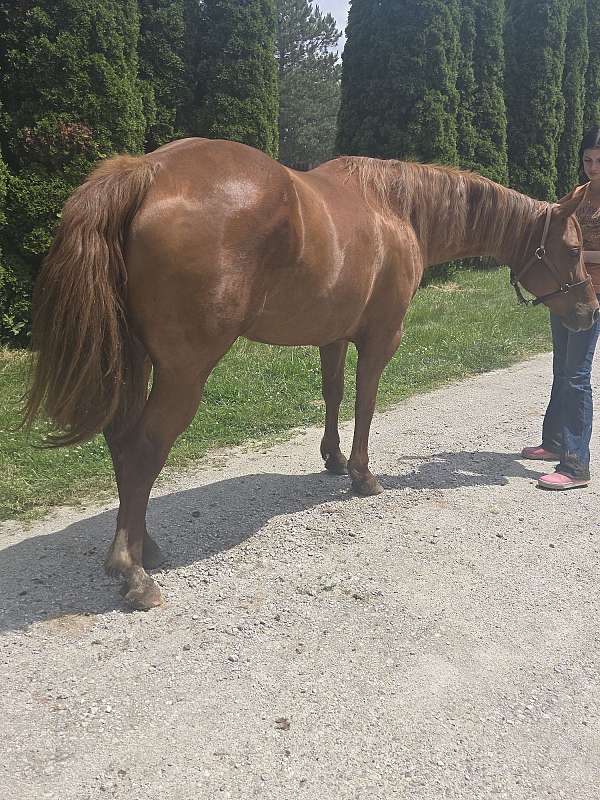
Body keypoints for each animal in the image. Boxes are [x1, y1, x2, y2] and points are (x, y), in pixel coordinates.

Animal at [23, 137, 599, 610]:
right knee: (143, 447)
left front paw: (334, 459)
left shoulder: (333, 335)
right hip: (183, 372)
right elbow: (365, 401)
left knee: (121, 444)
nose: (589, 311)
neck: (395, 209)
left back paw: (146, 547)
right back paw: (134, 571)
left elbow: (333, 392)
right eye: (573, 248)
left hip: (136, 360)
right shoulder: (381, 337)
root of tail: (147, 171)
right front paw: (363, 476)